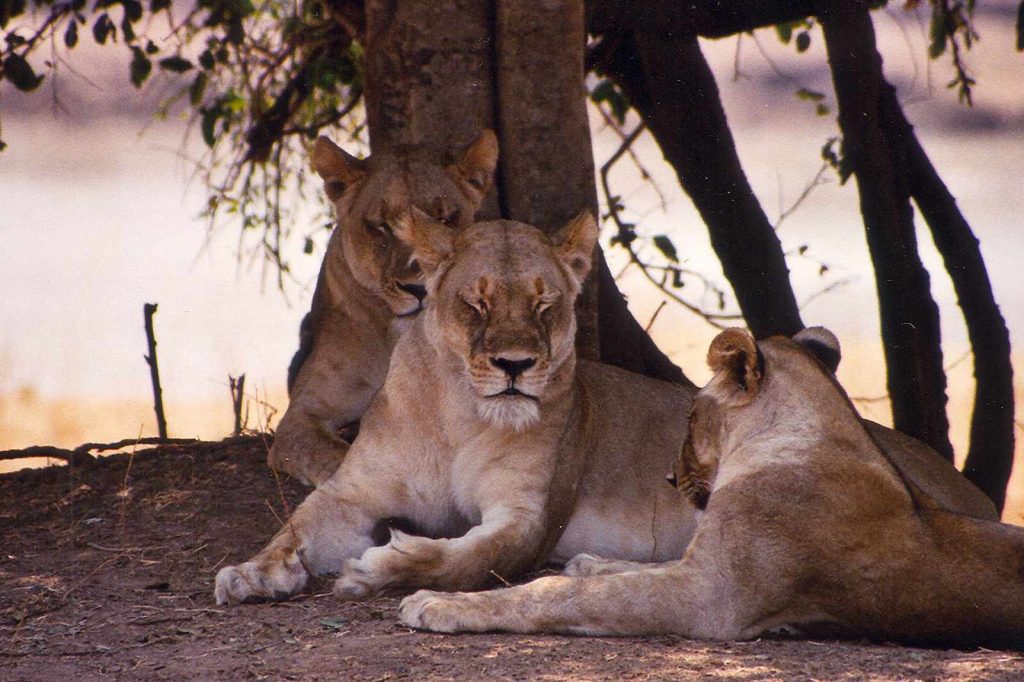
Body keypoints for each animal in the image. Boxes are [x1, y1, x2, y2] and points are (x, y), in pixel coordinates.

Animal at [215, 212, 703, 605]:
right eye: (476, 304)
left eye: (544, 305)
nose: (514, 364)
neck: (459, 415)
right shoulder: (352, 494)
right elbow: (292, 530)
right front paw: (250, 572)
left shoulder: (528, 518)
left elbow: (467, 559)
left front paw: (378, 567)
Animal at [399, 327, 1024, 650]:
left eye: (690, 415)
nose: (670, 479)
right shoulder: (701, 565)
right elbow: (618, 572)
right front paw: (590, 562)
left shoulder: (711, 600)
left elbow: (558, 594)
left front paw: (437, 603)